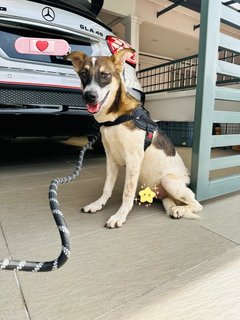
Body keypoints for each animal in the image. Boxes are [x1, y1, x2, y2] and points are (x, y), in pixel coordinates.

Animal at [66, 48, 202, 228]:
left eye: (105, 75)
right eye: (83, 74)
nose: (89, 96)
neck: (115, 118)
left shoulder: (133, 160)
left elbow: (127, 193)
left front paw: (120, 216)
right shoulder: (111, 159)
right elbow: (107, 187)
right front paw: (98, 204)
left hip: (169, 181)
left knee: (197, 205)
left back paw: (180, 209)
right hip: (165, 192)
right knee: (173, 202)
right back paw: (175, 209)